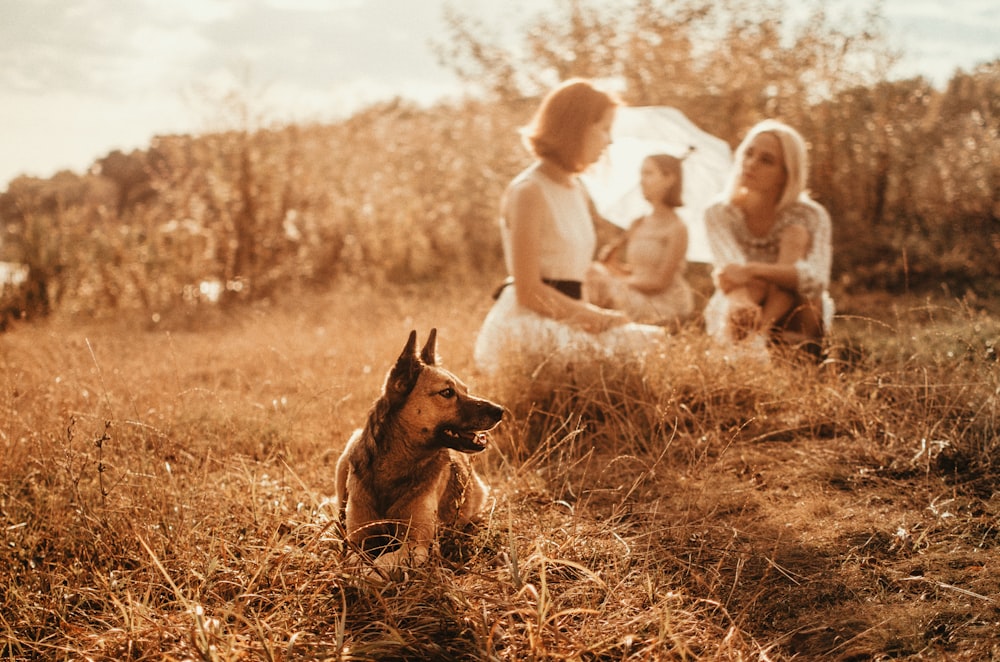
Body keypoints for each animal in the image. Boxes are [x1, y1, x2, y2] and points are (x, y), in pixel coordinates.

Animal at [336, 330, 504, 568]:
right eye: (447, 392)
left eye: (466, 390)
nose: (500, 411)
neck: (393, 467)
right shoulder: (358, 542)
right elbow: (357, 560)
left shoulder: (415, 545)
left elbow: (381, 563)